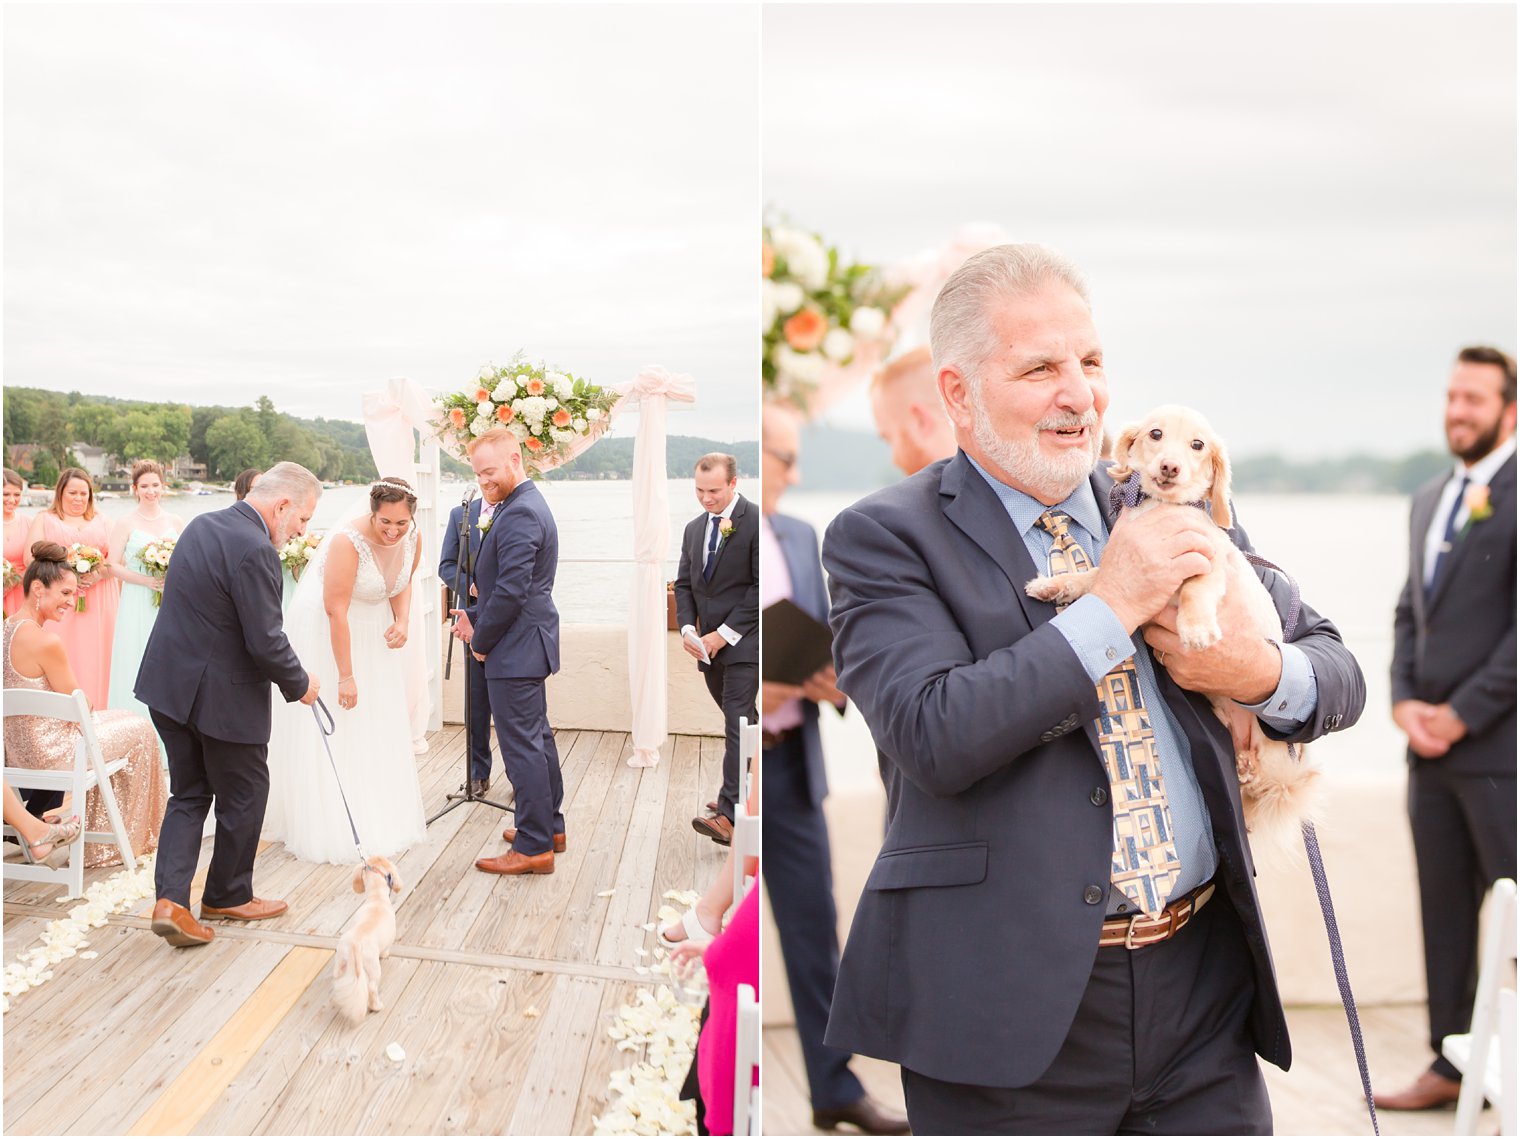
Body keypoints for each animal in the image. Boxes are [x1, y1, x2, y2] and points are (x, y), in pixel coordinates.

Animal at [334, 851, 404, 1021]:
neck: (377, 898)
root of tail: (355, 944)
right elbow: (385, 950)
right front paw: (386, 955)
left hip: (340, 959)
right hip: (373, 967)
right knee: (372, 987)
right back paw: (376, 1006)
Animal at [1033, 407, 1319, 845]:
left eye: (1197, 445)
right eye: (1155, 434)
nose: (1170, 466)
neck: (1162, 512)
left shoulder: (1207, 563)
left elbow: (1194, 591)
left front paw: (1196, 627)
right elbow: (1094, 578)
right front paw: (1055, 585)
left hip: (1274, 753)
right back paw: (1241, 767)